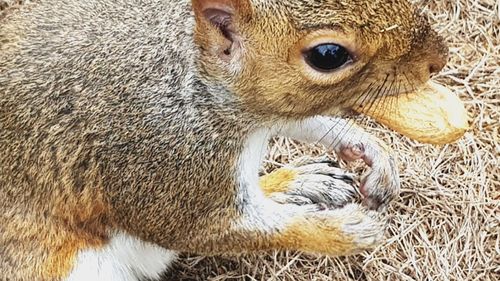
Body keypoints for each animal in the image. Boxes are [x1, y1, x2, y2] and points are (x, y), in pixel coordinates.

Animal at [0, 0, 448, 280]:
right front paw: (344, 232)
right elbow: (199, 230)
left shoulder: (270, 112)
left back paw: (296, 183)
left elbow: (308, 120)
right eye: (328, 55)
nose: (439, 58)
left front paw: (369, 147)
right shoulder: (157, 160)